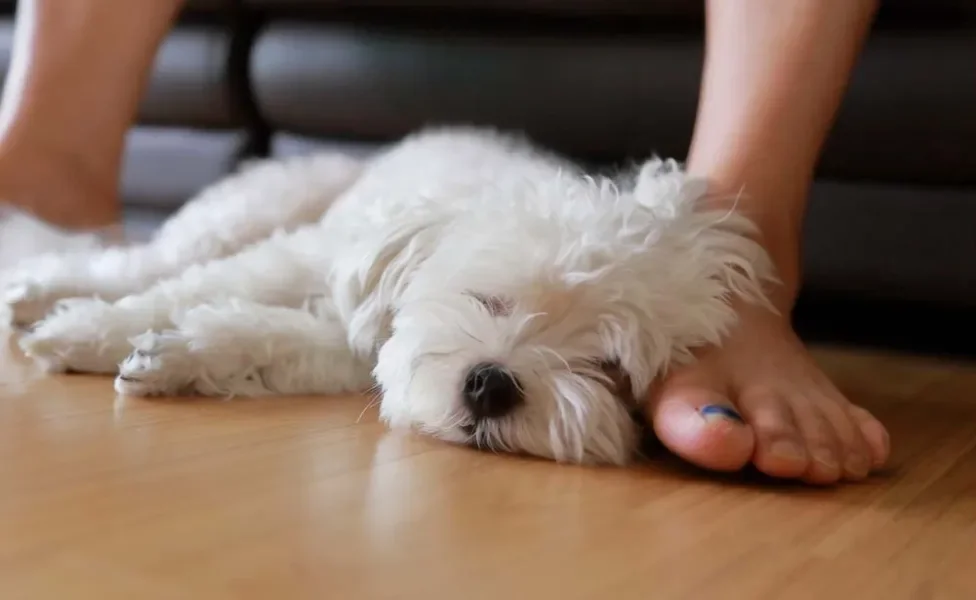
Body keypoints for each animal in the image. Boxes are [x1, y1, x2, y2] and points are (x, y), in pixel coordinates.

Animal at [1, 126, 776, 464]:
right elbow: (201, 290)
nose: (494, 385)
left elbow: (264, 338)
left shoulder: (350, 342)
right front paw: (91, 336)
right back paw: (42, 297)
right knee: (148, 262)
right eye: (490, 300)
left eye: (610, 372)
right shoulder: (310, 264)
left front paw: (178, 355)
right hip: (256, 208)